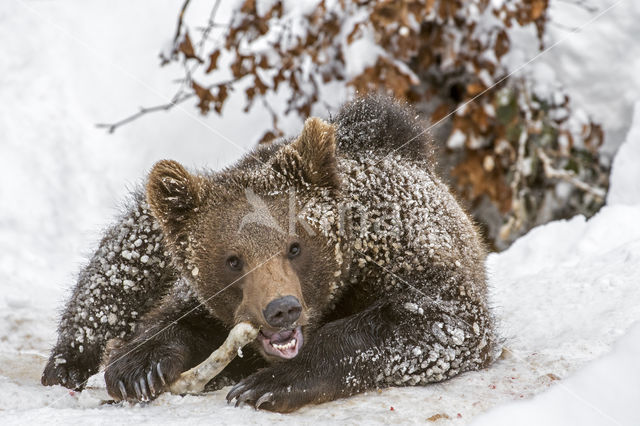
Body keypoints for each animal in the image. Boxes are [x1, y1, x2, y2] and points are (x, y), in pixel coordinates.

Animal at [41, 95, 500, 412]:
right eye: (232, 259)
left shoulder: (413, 259)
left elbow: (438, 322)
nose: (282, 308)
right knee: (118, 265)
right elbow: (181, 317)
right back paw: (69, 361)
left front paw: (269, 384)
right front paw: (138, 367)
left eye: (295, 247)